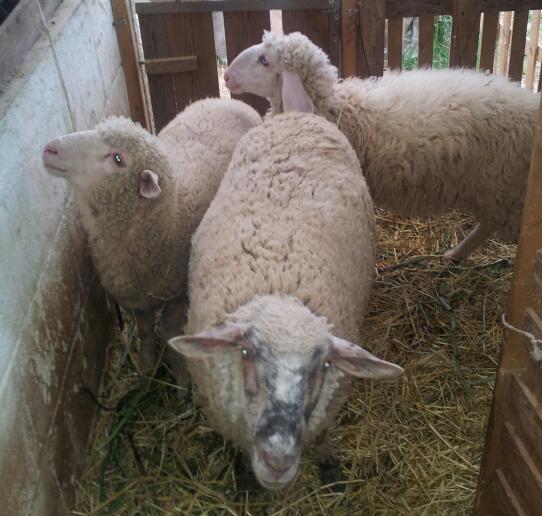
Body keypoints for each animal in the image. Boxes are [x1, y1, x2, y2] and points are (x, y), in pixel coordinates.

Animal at [42, 98, 261, 375]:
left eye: (117, 158)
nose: (50, 149)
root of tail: (227, 100)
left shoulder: (178, 295)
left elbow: (169, 332)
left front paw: (180, 375)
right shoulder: (135, 301)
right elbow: (146, 331)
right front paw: (146, 365)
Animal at [168, 111, 404, 490]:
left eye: (323, 366)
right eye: (246, 353)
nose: (277, 460)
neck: (279, 283)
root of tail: (295, 113)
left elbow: (322, 436)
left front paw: (330, 467)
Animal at [224, 31, 540, 260]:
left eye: (265, 60)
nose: (226, 75)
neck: (336, 108)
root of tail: (532, 107)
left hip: (504, 187)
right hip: (497, 191)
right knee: (488, 226)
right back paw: (455, 254)